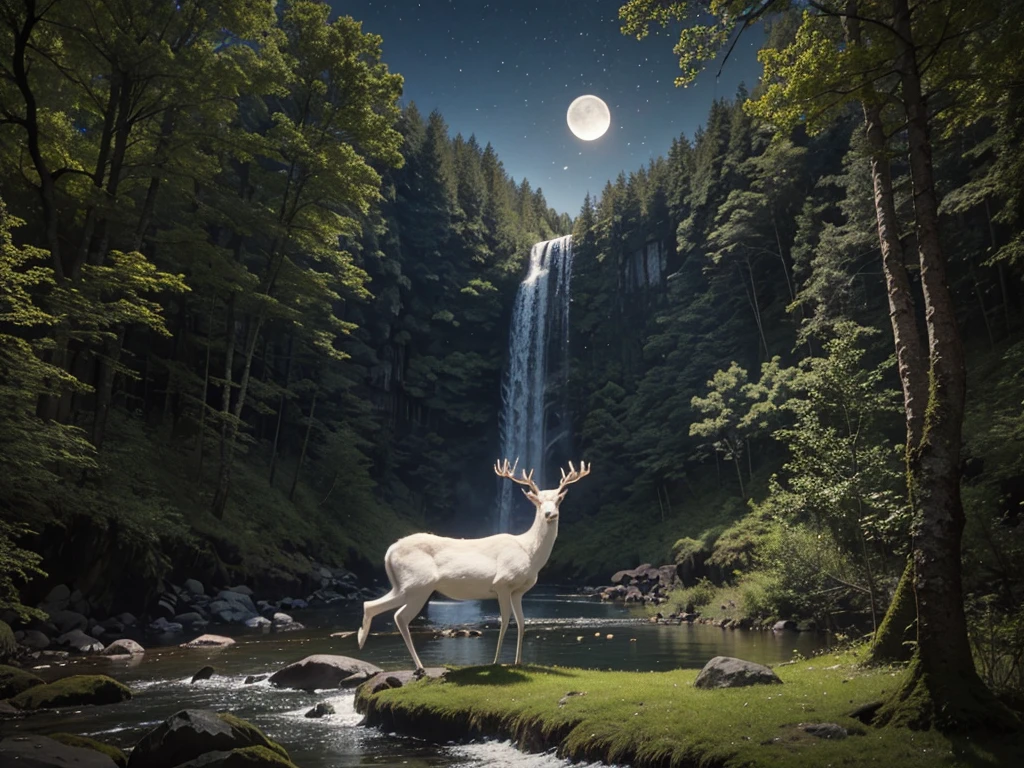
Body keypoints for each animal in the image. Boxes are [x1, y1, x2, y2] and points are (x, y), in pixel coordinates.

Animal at [356, 460, 589, 671]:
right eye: (538, 502)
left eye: (558, 500)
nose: (550, 514)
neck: (530, 552)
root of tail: (389, 552)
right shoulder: (502, 583)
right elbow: (505, 622)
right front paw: (496, 661)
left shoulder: (518, 591)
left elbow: (522, 623)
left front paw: (519, 661)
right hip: (419, 584)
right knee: (400, 616)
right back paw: (419, 666)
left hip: (404, 586)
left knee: (371, 605)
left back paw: (361, 639)